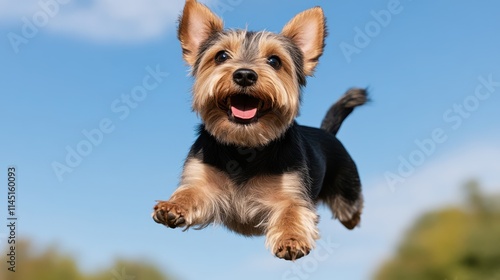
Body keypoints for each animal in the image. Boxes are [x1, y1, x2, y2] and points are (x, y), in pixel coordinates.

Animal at [152, 0, 368, 262]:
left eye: (274, 61)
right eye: (221, 56)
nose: (244, 74)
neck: (245, 145)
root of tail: (327, 132)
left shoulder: (293, 192)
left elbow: (292, 212)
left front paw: (291, 239)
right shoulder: (201, 182)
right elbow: (191, 193)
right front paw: (173, 206)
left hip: (348, 193)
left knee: (351, 213)